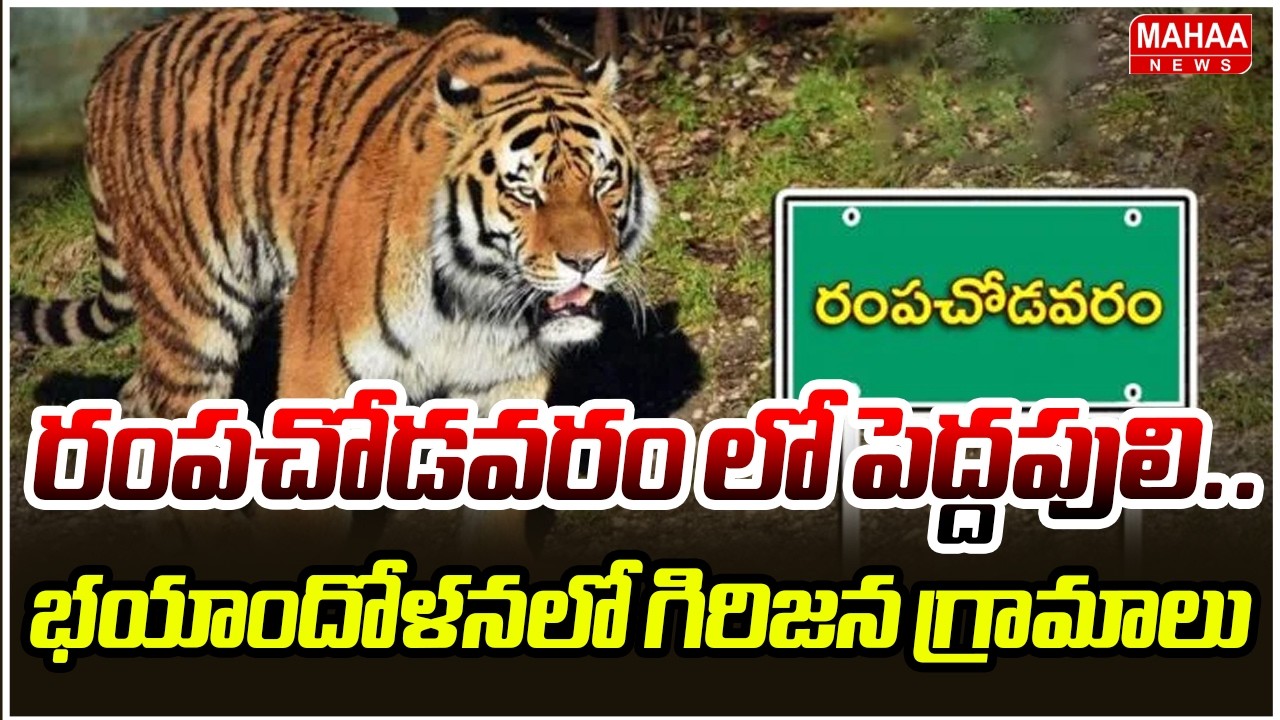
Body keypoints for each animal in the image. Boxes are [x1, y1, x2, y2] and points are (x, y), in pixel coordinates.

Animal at [10, 8, 659, 554]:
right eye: (525, 190)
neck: (476, 294)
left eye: (603, 181)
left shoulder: (506, 380)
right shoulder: (320, 375)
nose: (585, 260)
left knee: (135, 399)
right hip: (194, 311)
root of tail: (119, 53)